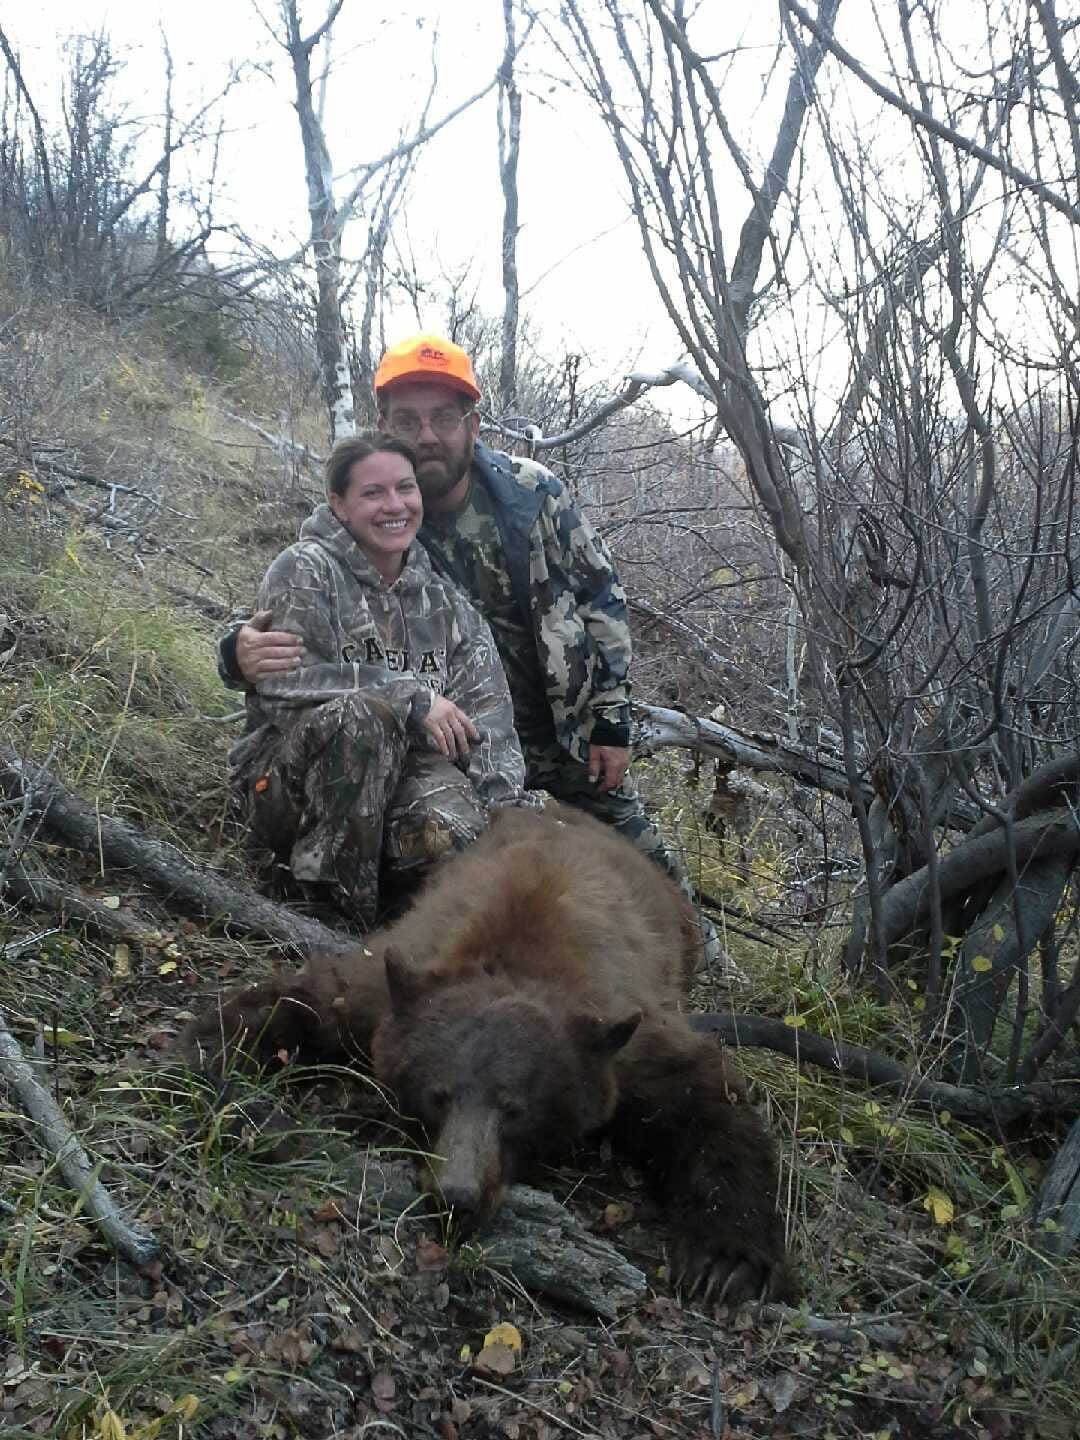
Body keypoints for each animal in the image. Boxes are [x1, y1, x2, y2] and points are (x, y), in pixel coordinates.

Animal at [179, 803, 794, 1304]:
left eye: (514, 1109)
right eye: (438, 1095)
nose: (458, 1195)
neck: (521, 951)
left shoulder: (623, 1038)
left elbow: (703, 1094)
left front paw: (725, 1261)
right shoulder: (398, 982)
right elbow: (310, 997)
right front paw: (214, 1055)